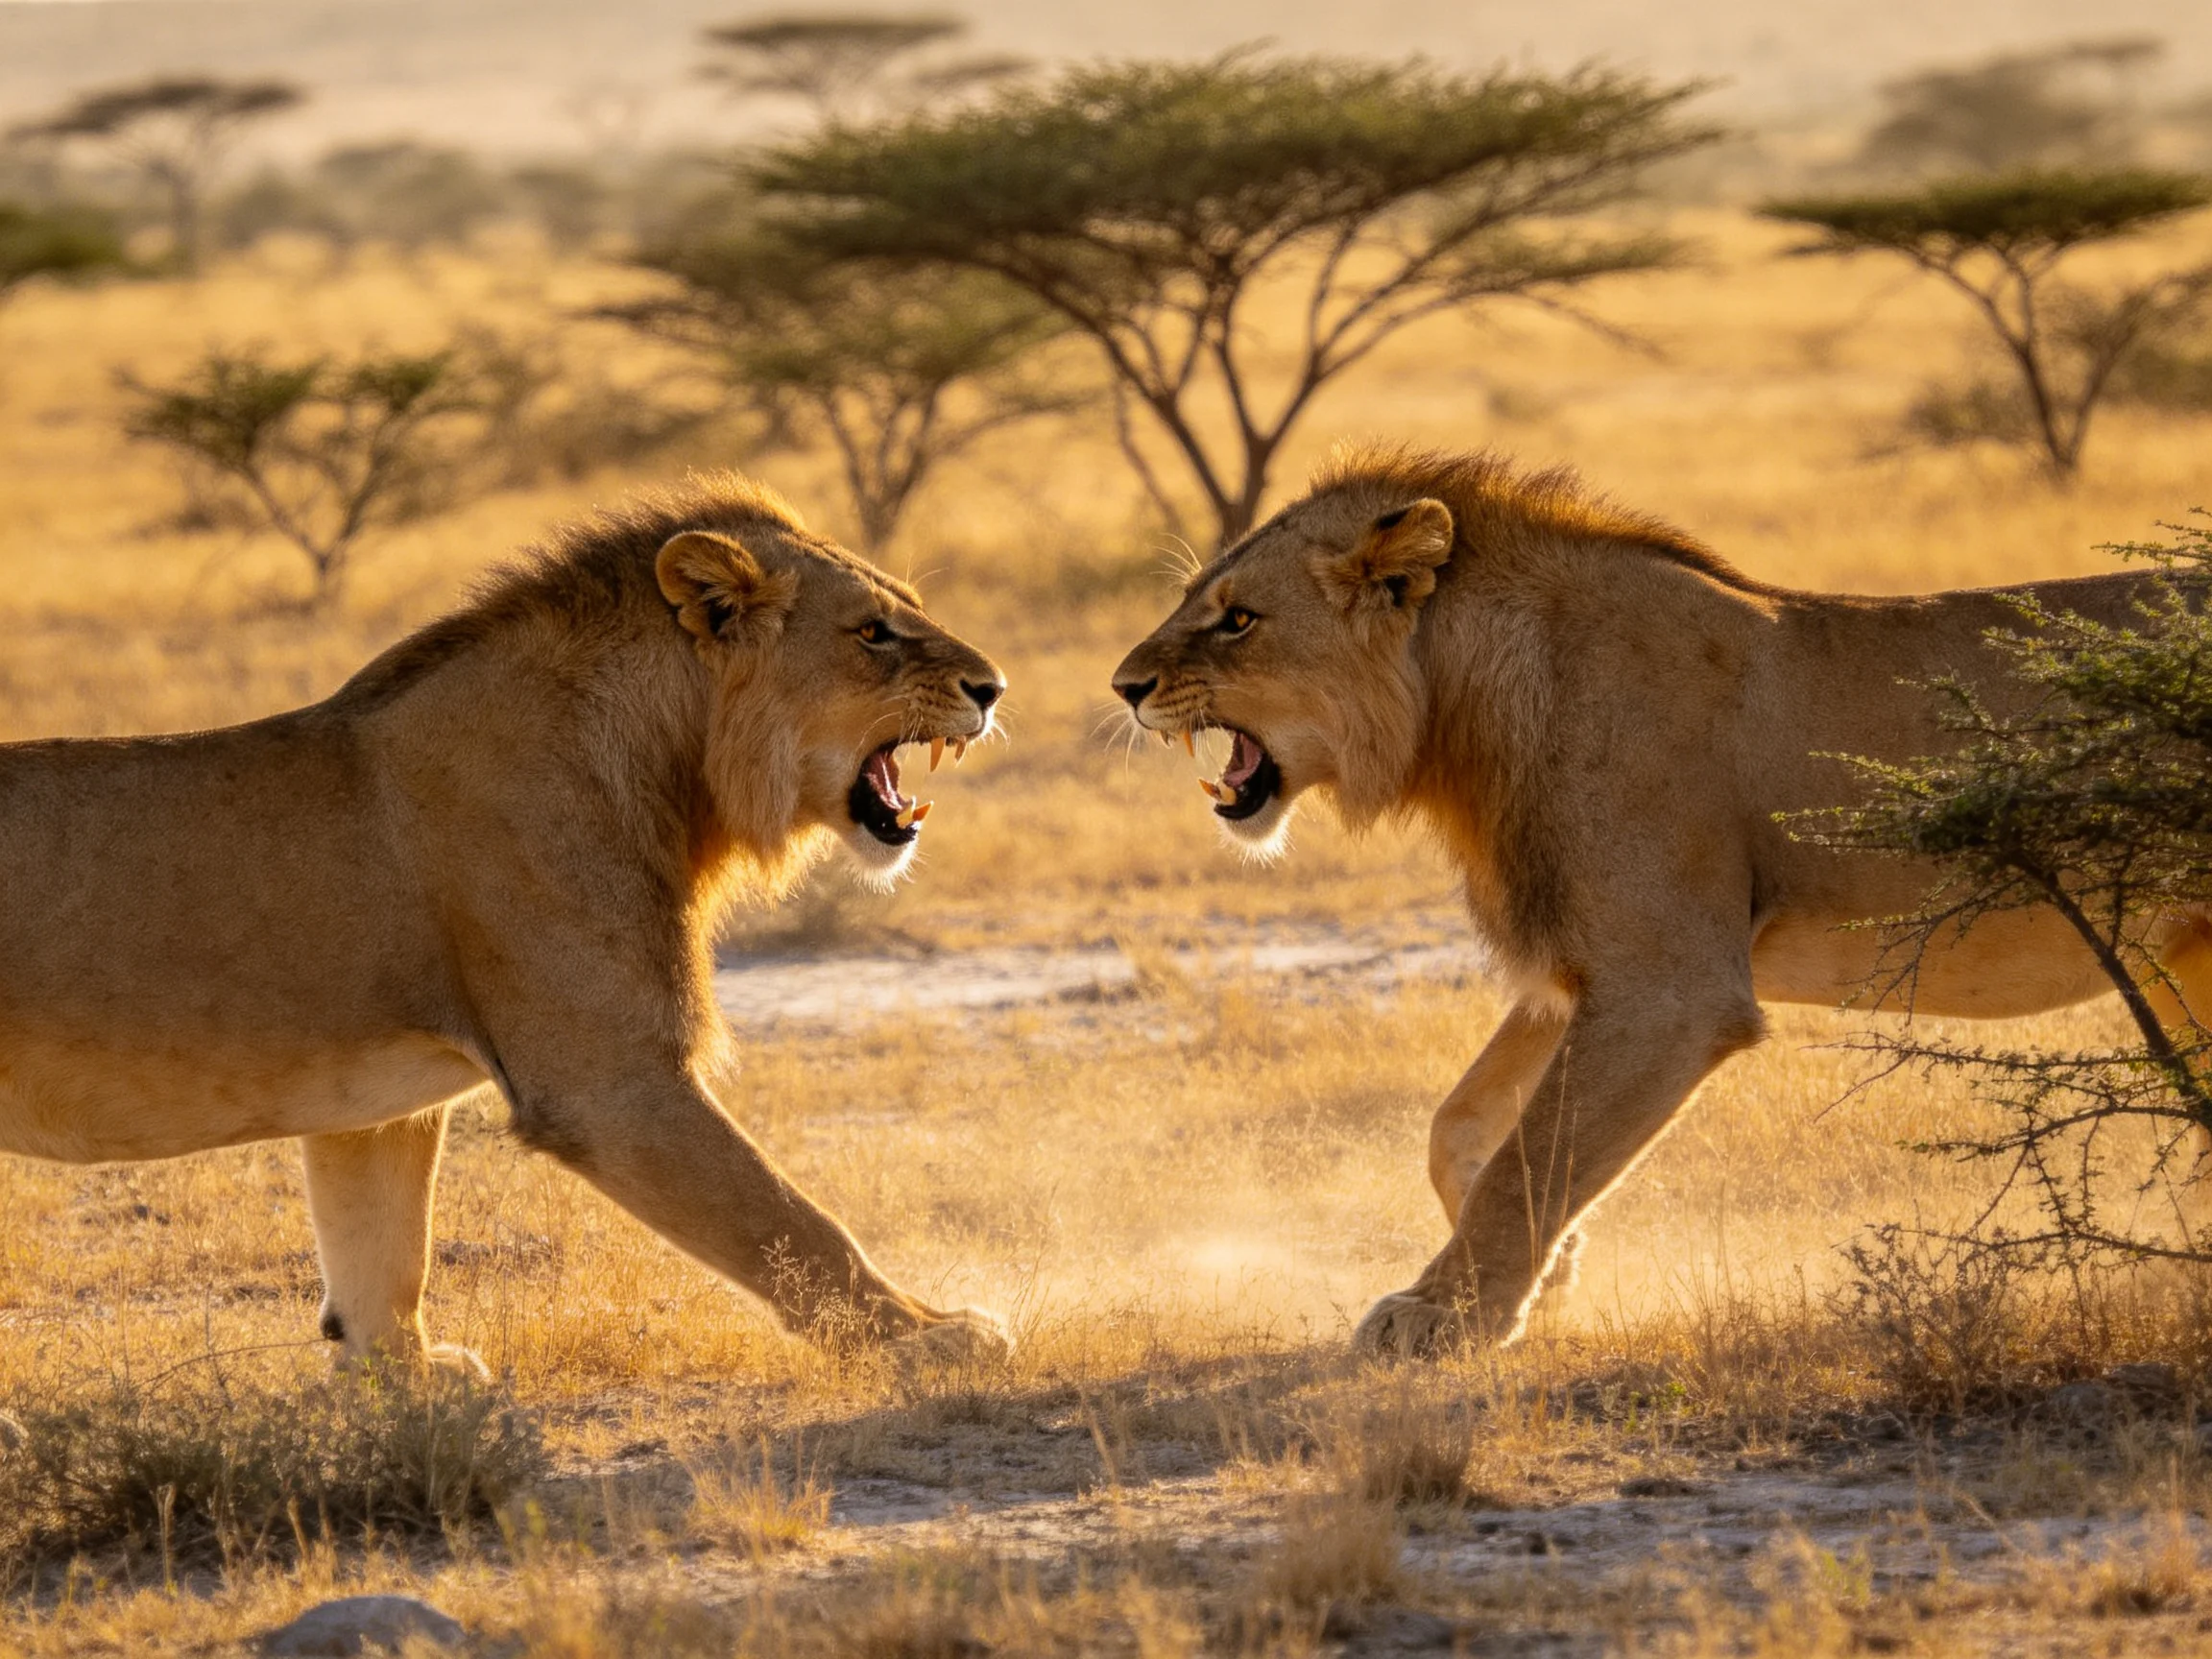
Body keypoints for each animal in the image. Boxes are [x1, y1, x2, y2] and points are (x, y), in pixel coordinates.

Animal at [0, 474, 1010, 1370]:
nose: (994, 687)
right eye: (873, 632)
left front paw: (401, 1379)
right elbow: (791, 1225)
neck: (666, 765)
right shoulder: (610, 1083)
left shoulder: (366, 1105)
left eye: (911, 610)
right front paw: (929, 1338)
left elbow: (382, 1252)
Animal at [1111, 444, 2212, 1356]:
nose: (1123, 686)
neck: (1466, 708)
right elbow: (1467, 1125)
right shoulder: (1580, 970)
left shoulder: (1670, 989)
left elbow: (1531, 1153)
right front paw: (1554, 1274)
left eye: (1238, 619)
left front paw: (1440, 1316)